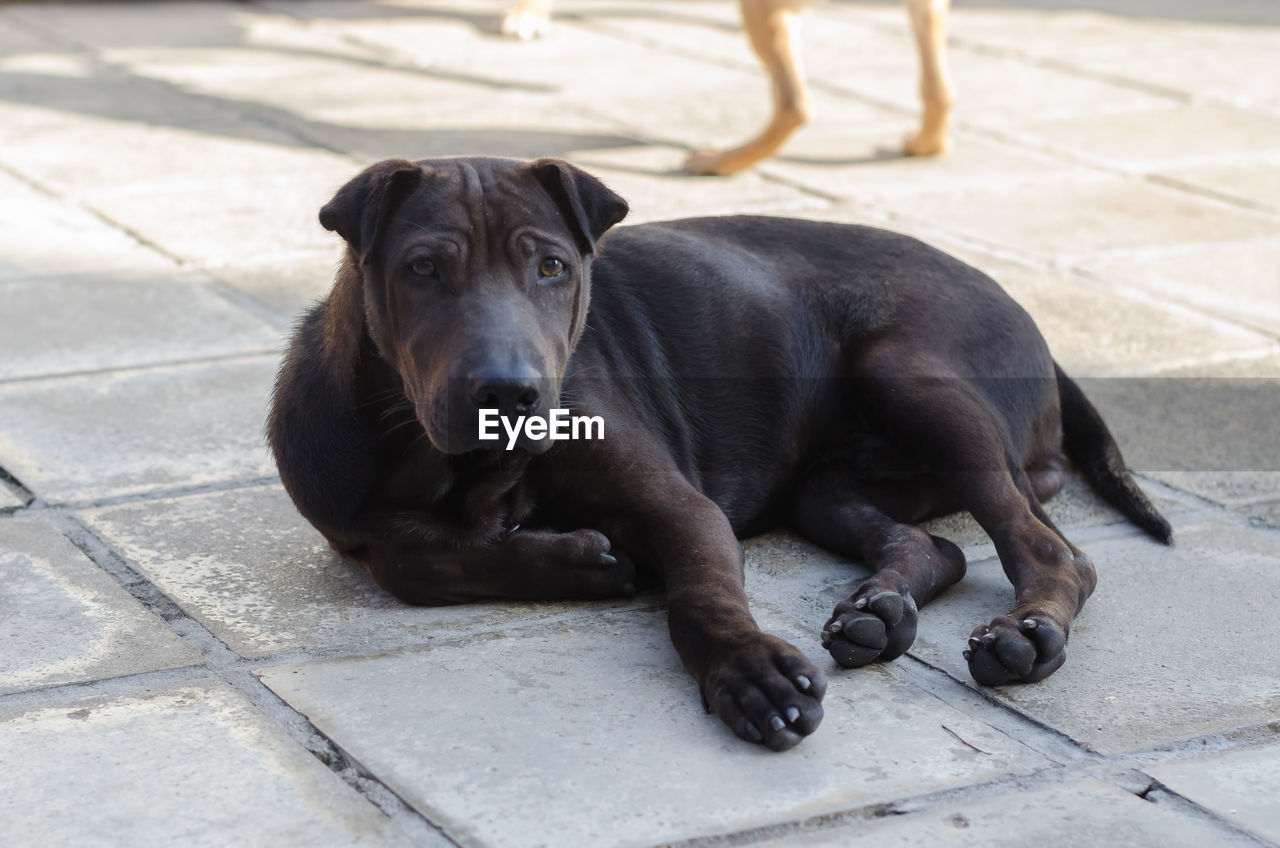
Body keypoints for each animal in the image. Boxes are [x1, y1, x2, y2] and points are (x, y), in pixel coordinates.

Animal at [270, 154, 1172, 753]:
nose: (509, 392)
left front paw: (748, 671)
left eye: (553, 267)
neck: (463, 469)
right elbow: (415, 559)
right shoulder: (354, 525)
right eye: (423, 268)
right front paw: (575, 560)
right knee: (934, 545)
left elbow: (701, 595)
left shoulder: (676, 504)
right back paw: (879, 611)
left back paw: (1027, 636)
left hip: (913, 376)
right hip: (830, 486)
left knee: (1053, 551)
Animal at [496, 0, 952, 174]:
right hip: (927, 12)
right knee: (941, 92)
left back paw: (723, 162)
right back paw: (925, 141)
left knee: (794, 103)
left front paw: (525, 13)